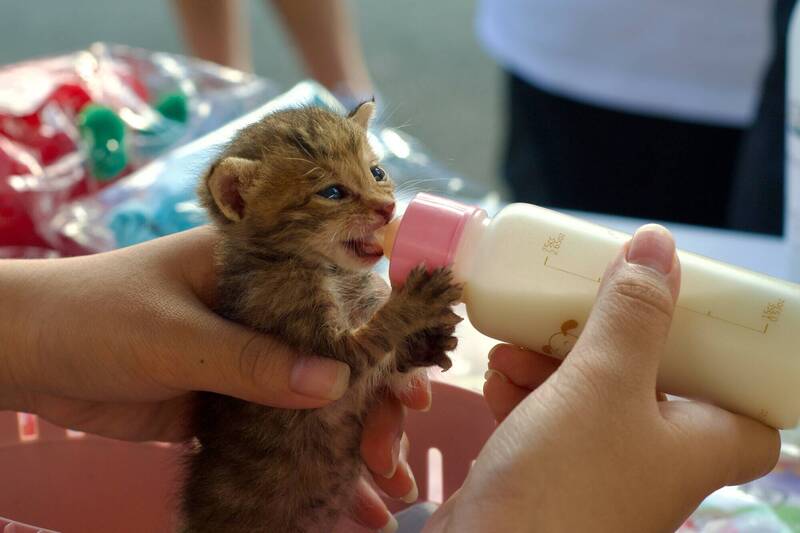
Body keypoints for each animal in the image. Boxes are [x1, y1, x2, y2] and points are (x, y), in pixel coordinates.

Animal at [177, 101, 460, 532]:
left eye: (377, 172)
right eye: (332, 193)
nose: (388, 209)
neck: (331, 270)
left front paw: (425, 345)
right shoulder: (325, 349)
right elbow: (372, 338)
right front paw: (415, 302)